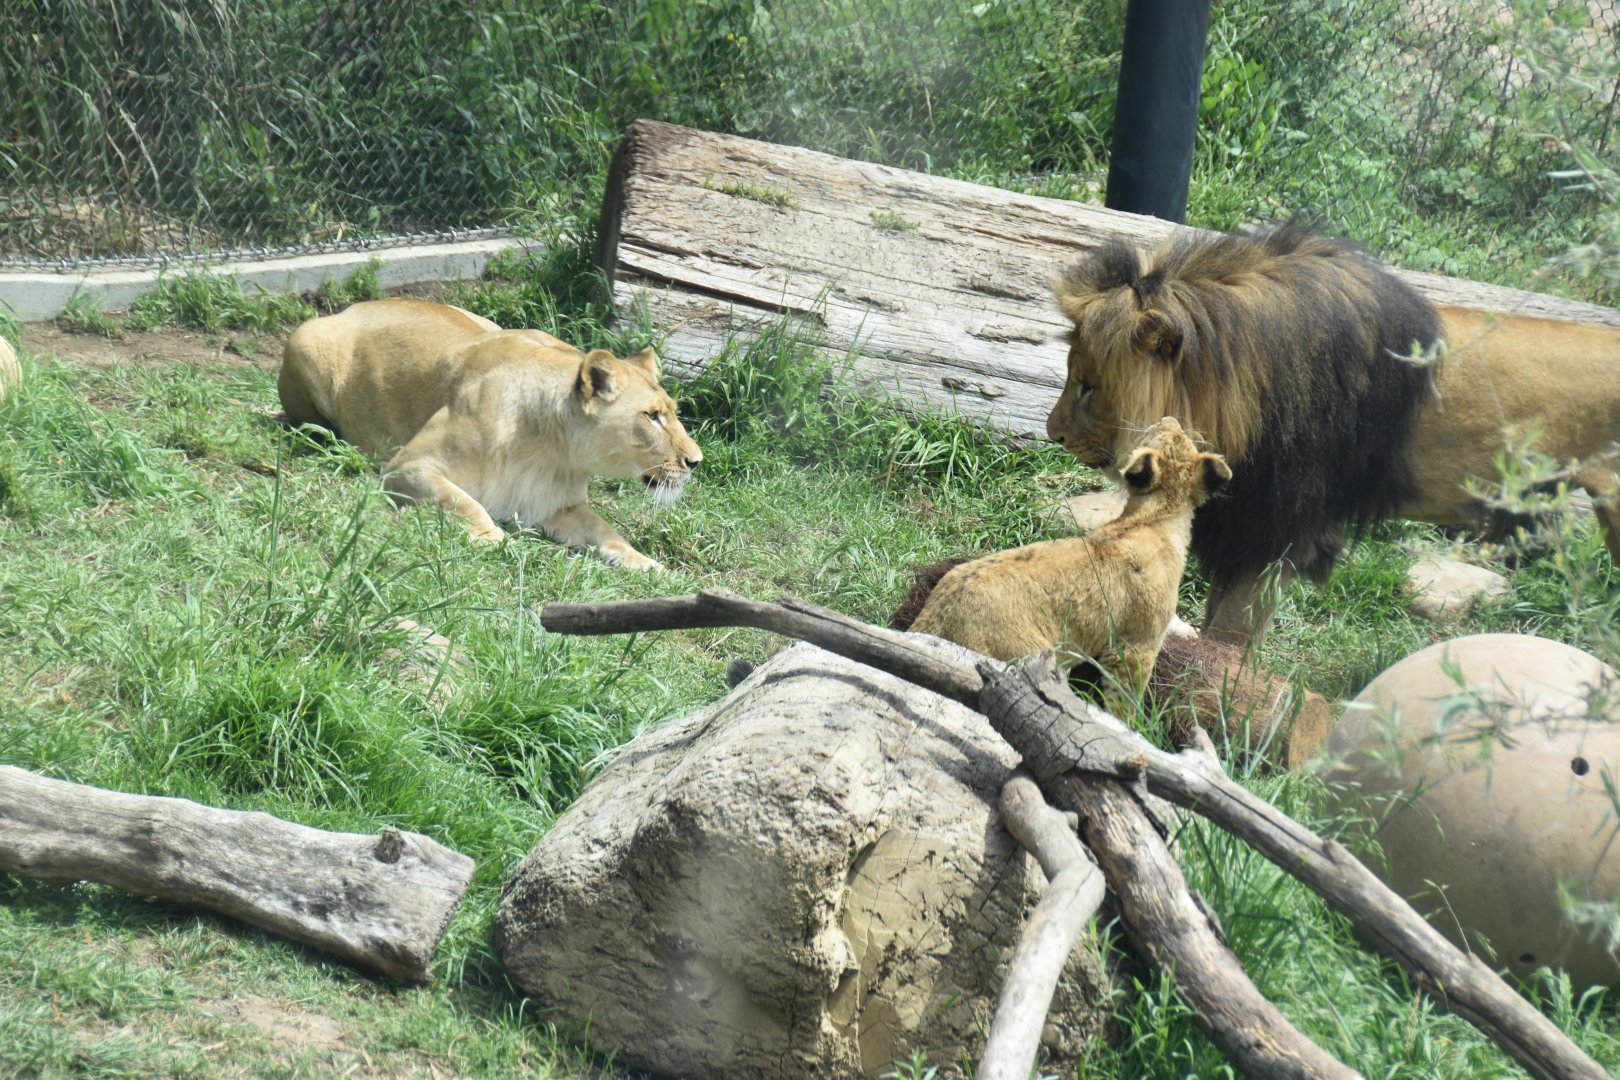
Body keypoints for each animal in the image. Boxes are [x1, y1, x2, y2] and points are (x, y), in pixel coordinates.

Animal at [278, 298, 702, 569]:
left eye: (672, 413)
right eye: (652, 416)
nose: (696, 461)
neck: (549, 451)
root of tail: (354, 306)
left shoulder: (559, 507)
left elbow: (605, 530)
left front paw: (645, 563)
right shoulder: (407, 466)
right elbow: (463, 501)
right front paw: (489, 536)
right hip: (305, 340)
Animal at [893, 417, 1230, 693]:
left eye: (1176, 433)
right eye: (1161, 431)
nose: (1169, 417)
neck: (1153, 517)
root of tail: (932, 622)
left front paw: (1190, 632)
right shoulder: (1136, 644)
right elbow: (1125, 697)